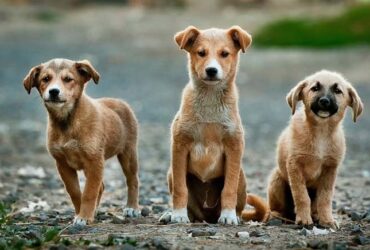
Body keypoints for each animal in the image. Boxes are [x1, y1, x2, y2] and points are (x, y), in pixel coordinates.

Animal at [23, 58, 141, 225]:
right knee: (101, 186)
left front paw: (84, 217)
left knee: (132, 180)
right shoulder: (63, 164)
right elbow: (75, 192)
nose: (54, 91)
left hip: (128, 153)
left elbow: (89, 192)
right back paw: (96, 211)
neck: (67, 122)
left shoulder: (94, 161)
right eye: (45, 79)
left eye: (68, 79)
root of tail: (119, 101)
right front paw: (81, 214)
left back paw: (132, 207)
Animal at [163, 25, 268, 225]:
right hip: (171, 173)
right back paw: (173, 215)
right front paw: (178, 215)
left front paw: (228, 216)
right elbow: (180, 189)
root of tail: (207, 216)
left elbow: (228, 189)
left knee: (238, 204)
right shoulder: (179, 146)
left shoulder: (234, 146)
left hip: (242, 176)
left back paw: (235, 215)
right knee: (191, 208)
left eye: (224, 54)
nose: (211, 70)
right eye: (201, 53)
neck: (210, 100)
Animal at [268, 70, 362, 229]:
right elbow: (301, 196)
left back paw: (316, 216)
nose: (324, 101)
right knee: (277, 208)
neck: (321, 133)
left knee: (315, 205)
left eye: (337, 91)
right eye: (315, 88)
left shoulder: (330, 169)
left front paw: (327, 220)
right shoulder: (295, 165)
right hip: (277, 180)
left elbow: (325, 198)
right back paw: (279, 216)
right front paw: (304, 220)